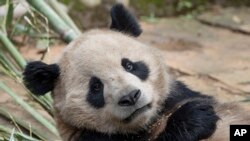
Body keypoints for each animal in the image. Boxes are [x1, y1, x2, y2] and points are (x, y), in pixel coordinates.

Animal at [22, 3, 249, 141]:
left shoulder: (178, 96)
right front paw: (194, 117)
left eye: (129, 65)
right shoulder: (90, 135)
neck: (147, 123)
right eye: (95, 87)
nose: (131, 97)